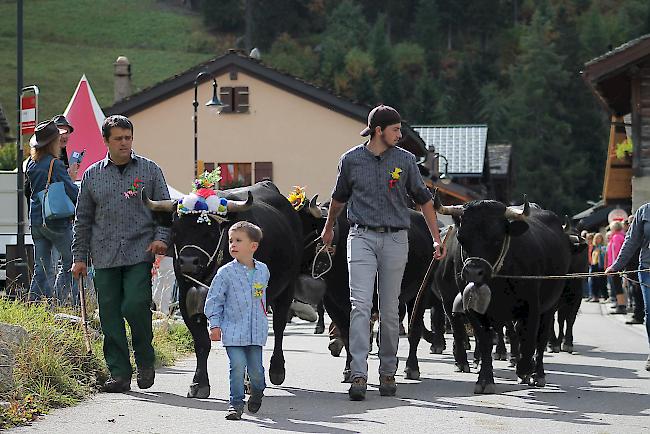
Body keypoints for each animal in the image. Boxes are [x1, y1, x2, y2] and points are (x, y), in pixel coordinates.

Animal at [143, 181, 300, 398]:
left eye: (210, 232)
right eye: (175, 231)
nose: (188, 262)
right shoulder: (186, 299)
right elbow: (202, 342)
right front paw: (199, 383)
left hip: (287, 288)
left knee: (278, 327)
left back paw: (275, 370)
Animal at [432, 191, 568, 394]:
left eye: (497, 239)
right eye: (462, 238)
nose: (473, 272)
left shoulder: (533, 307)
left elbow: (529, 339)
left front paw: (524, 369)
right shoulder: (472, 310)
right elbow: (485, 341)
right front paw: (484, 379)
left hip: (550, 305)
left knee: (541, 338)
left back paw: (538, 374)